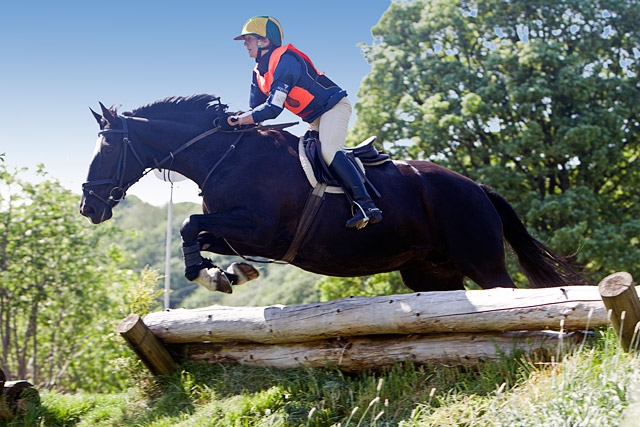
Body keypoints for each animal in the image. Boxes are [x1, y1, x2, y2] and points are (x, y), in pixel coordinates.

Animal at [79, 93, 580, 294]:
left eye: (108, 148)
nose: (88, 206)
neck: (224, 153)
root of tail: (476, 186)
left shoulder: (258, 230)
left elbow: (188, 223)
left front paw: (216, 276)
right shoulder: (239, 233)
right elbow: (195, 234)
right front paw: (226, 274)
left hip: (482, 262)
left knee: (506, 293)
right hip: (430, 272)